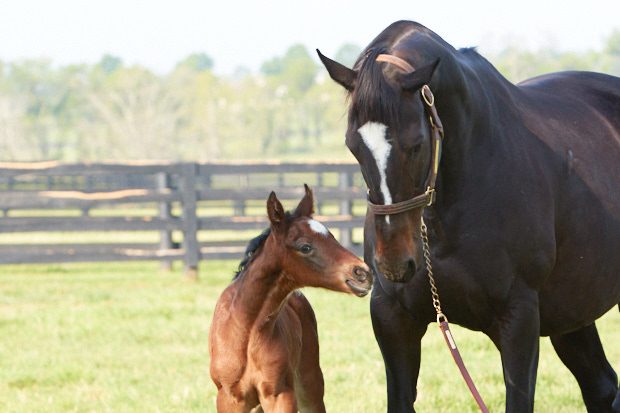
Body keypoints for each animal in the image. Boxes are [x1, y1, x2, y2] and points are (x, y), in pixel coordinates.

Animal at [208, 185, 372, 410]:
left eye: (332, 237)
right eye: (305, 247)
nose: (363, 273)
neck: (247, 330)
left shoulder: (280, 394)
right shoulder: (229, 398)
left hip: (310, 385)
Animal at [320, 20, 620, 412]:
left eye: (416, 144)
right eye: (354, 146)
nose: (395, 265)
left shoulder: (519, 320)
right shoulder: (393, 318)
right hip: (572, 309)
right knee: (601, 387)